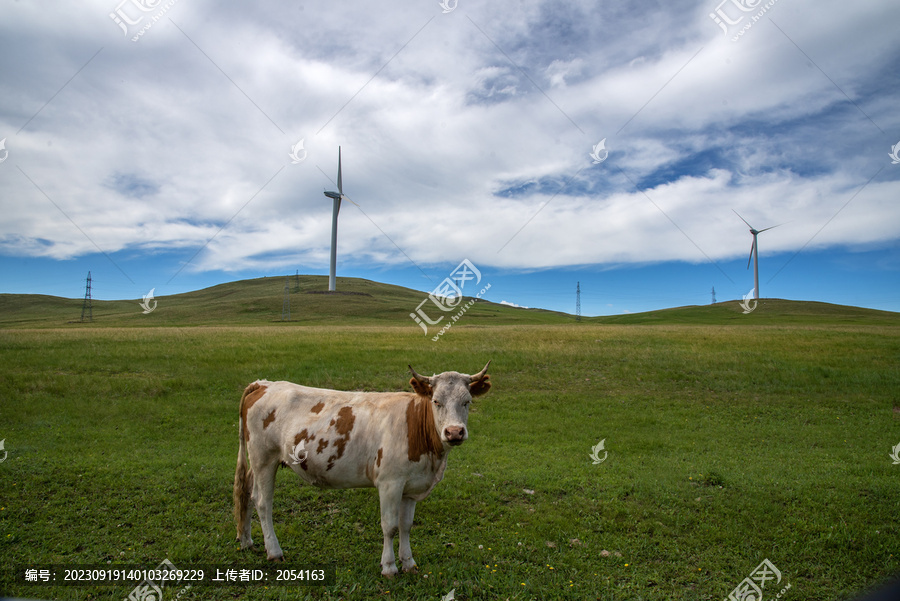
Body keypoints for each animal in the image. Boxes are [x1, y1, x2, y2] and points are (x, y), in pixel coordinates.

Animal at [232, 360, 492, 576]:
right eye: (436, 401)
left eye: (467, 402)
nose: (454, 432)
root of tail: (264, 384)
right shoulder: (389, 483)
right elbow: (390, 526)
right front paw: (389, 567)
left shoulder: (411, 486)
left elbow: (406, 526)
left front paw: (408, 563)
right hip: (264, 459)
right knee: (263, 502)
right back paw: (274, 552)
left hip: (257, 462)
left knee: (247, 493)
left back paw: (246, 540)